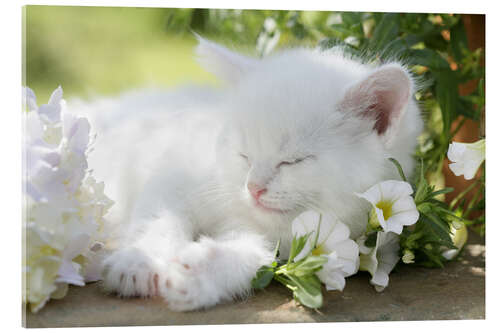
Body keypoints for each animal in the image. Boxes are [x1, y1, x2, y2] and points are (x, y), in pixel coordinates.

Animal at [74, 37, 424, 310]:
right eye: (244, 153)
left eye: (293, 161)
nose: (254, 187)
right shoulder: (173, 170)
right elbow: (158, 219)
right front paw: (139, 261)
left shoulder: (278, 243)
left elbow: (247, 254)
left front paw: (196, 273)